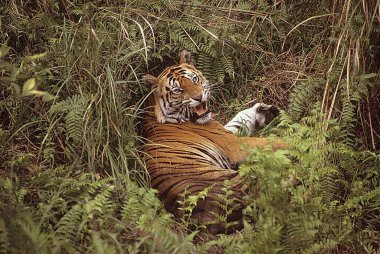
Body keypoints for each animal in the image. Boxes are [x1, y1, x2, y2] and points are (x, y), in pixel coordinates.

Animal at [141, 50, 286, 236]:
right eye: (177, 90)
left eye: (194, 79)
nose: (198, 97)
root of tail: (205, 218)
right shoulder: (233, 145)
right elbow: (271, 142)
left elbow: (238, 121)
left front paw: (263, 111)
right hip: (241, 179)